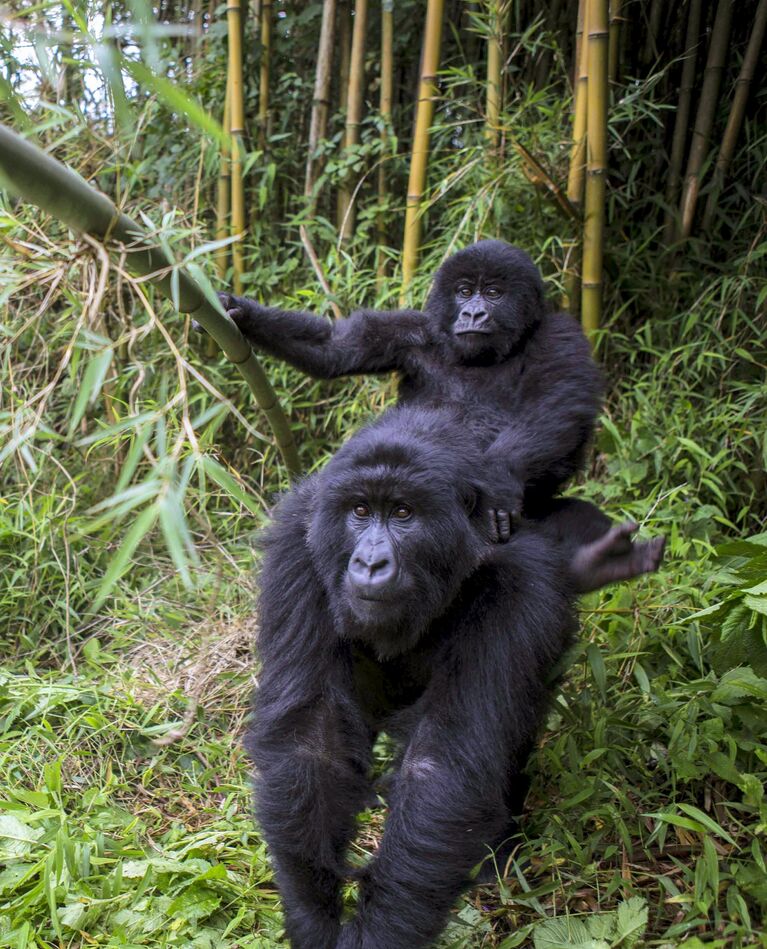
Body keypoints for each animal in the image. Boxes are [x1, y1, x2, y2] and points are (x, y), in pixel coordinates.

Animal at [219, 239, 664, 592]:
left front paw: (499, 481)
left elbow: (558, 402)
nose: (473, 315)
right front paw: (242, 311)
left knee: (576, 519)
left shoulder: (561, 334)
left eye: (494, 292)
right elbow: (334, 347)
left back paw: (603, 563)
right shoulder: (412, 330)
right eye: (465, 291)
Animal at [249, 406, 580, 948]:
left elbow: (439, 772)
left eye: (403, 514)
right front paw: (313, 916)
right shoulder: (295, 544)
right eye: (360, 510)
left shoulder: (522, 584)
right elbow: (308, 739)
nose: (369, 562)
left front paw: (378, 932)